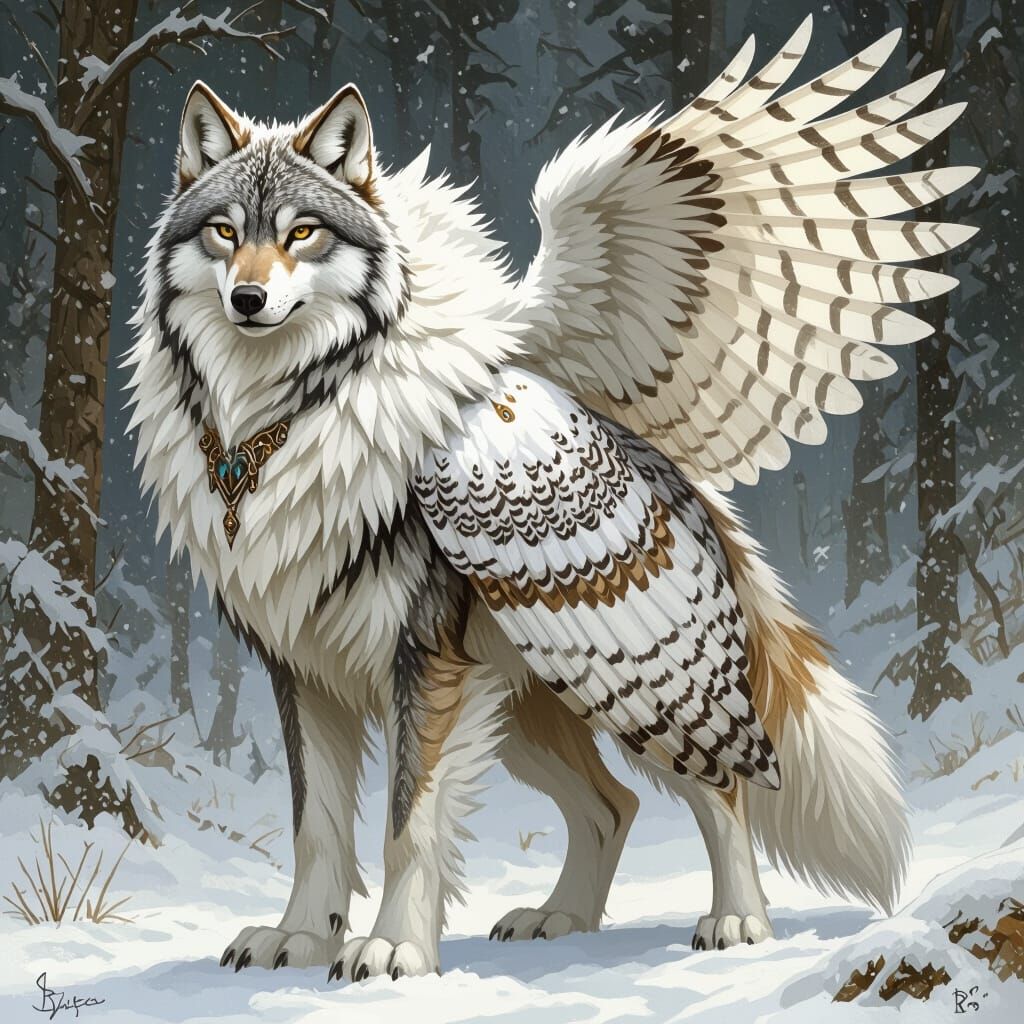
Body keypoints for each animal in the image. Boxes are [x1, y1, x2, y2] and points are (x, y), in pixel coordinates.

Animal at [127, 17, 974, 981]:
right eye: (224, 231)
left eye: (302, 232)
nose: (248, 297)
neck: (283, 417)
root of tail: (682, 480)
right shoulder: (302, 670)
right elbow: (316, 830)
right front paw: (301, 939)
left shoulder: (424, 664)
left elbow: (406, 826)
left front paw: (393, 951)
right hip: (537, 708)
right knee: (612, 806)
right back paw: (560, 918)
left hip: (633, 698)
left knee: (725, 789)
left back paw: (736, 925)